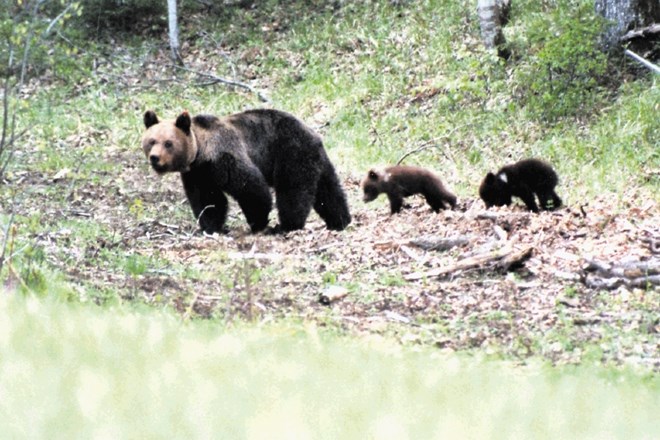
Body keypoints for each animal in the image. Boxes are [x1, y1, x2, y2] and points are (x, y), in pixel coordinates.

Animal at [142, 108, 354, 234]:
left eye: (168, 143)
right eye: (151, 141)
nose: (155, 157)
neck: (200, 152)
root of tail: (313, 133)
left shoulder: (223, 157)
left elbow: (251, 187)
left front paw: (258, 222)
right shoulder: (198, 174)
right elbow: (208, 200)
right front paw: (212, 227)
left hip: (291, 153)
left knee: (293, 191)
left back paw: (286, 226)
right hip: (317, 159)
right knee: (329, 191)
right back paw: (340, 220)